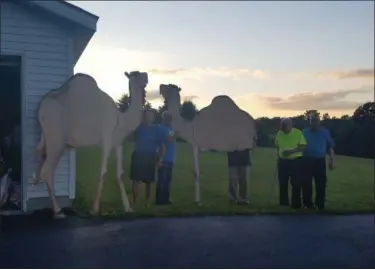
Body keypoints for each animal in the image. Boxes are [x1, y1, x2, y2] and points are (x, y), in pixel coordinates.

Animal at [34, 71, 148, 217]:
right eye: (138, 75)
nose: (146, 76)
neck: (121, 121)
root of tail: (41, 107)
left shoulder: (118, 144)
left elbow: (120, 173)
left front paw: (128, 208)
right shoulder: (106, 140)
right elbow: (103, 172)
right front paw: (94, 209)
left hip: (48, 142)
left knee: (39, 168)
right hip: (56, 140)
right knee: (47, 172)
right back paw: (58, 210)